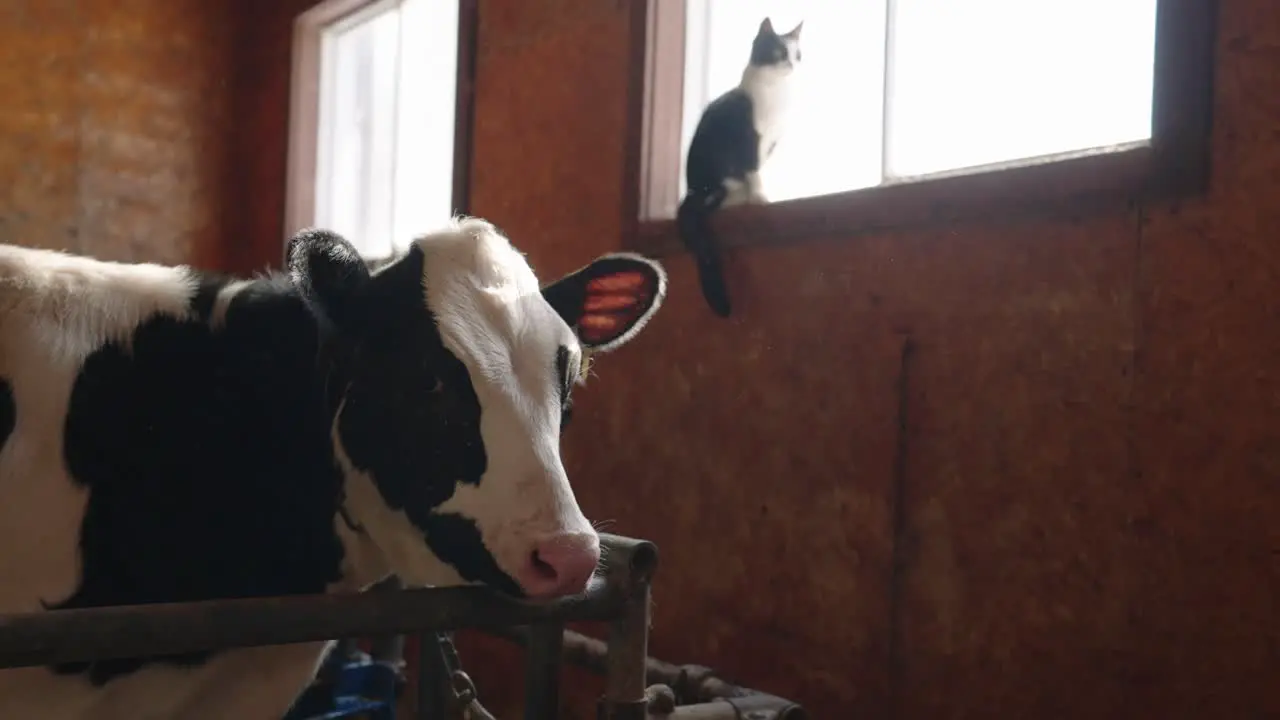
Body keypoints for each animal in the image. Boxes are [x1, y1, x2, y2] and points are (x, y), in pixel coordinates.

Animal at [680, 16, 798, 316]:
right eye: (779, 51)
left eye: (798, 54)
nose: (792, 64)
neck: (776, 94)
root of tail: (692, 191)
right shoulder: (749, 138)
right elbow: (753, 168)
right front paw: (759, 197)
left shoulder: (772, 142)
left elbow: (760, 168)